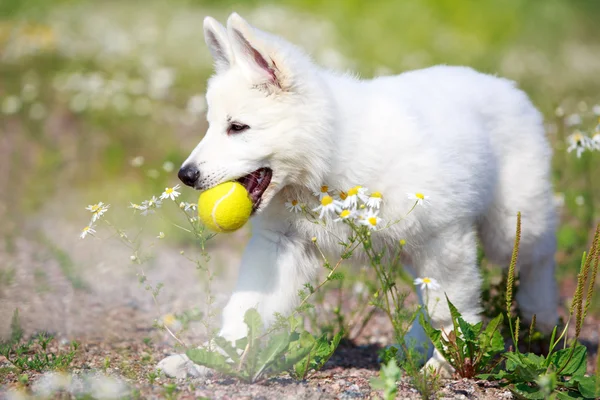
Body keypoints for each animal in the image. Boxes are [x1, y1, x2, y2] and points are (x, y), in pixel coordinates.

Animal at [158, 12, 556, 378]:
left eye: (238, 127)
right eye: (211, 125)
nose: (186, 175)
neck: (327, 158)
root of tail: (506, 85)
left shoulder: (445, 239)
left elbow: (450, 308)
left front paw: (447, 364)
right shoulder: (280, 245)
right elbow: (246, 309)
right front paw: (207, 358)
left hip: (510, 223)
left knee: (538, 255)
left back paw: (544, 318)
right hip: (413, 246)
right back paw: (414, 343)